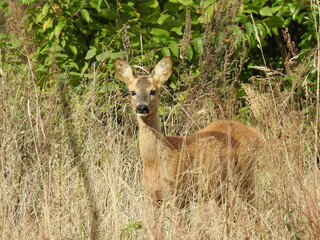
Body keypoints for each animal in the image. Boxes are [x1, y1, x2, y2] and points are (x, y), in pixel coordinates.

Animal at [114, 56, 258, 238]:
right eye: (132, 92)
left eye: (153, 91)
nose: (142, 107)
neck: (156, 160)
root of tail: (254, 132)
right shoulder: (151, 195)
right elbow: (156, 231)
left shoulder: (179, 194)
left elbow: (179, 231)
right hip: (220, 187)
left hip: (246, 174)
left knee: (253, 209)